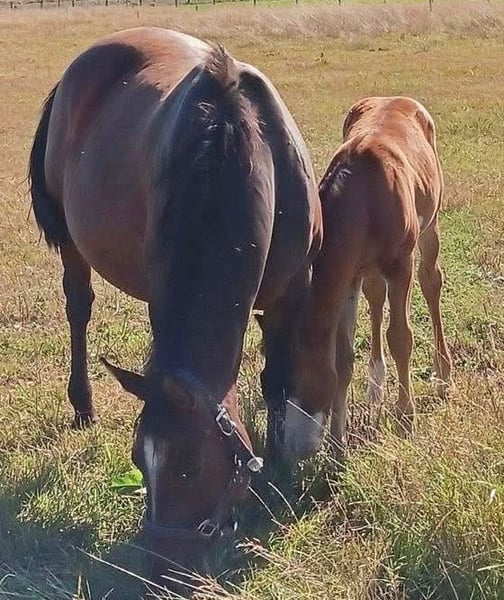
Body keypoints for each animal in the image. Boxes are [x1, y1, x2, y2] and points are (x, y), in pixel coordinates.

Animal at [28, 27, 321, 586]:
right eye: (139, 461)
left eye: (191, 466)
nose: (163, 575)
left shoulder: (293, 292)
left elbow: (278, 380)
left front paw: (277, 471)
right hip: (74, 245)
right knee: (79, 308)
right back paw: (83, 404)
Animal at [282, 96, 453, 463]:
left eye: (300, 384)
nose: (292, 451)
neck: (364, 199)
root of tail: (398, 97)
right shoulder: (347, 276)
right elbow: (344, 357)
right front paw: (337, 441)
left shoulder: (400, 264)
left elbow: (400, 337)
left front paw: (405, 418)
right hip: (367, 269)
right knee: (376, 297)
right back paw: (375, 385)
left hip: (430, 223)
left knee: (431, 282)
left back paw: (444, 377)